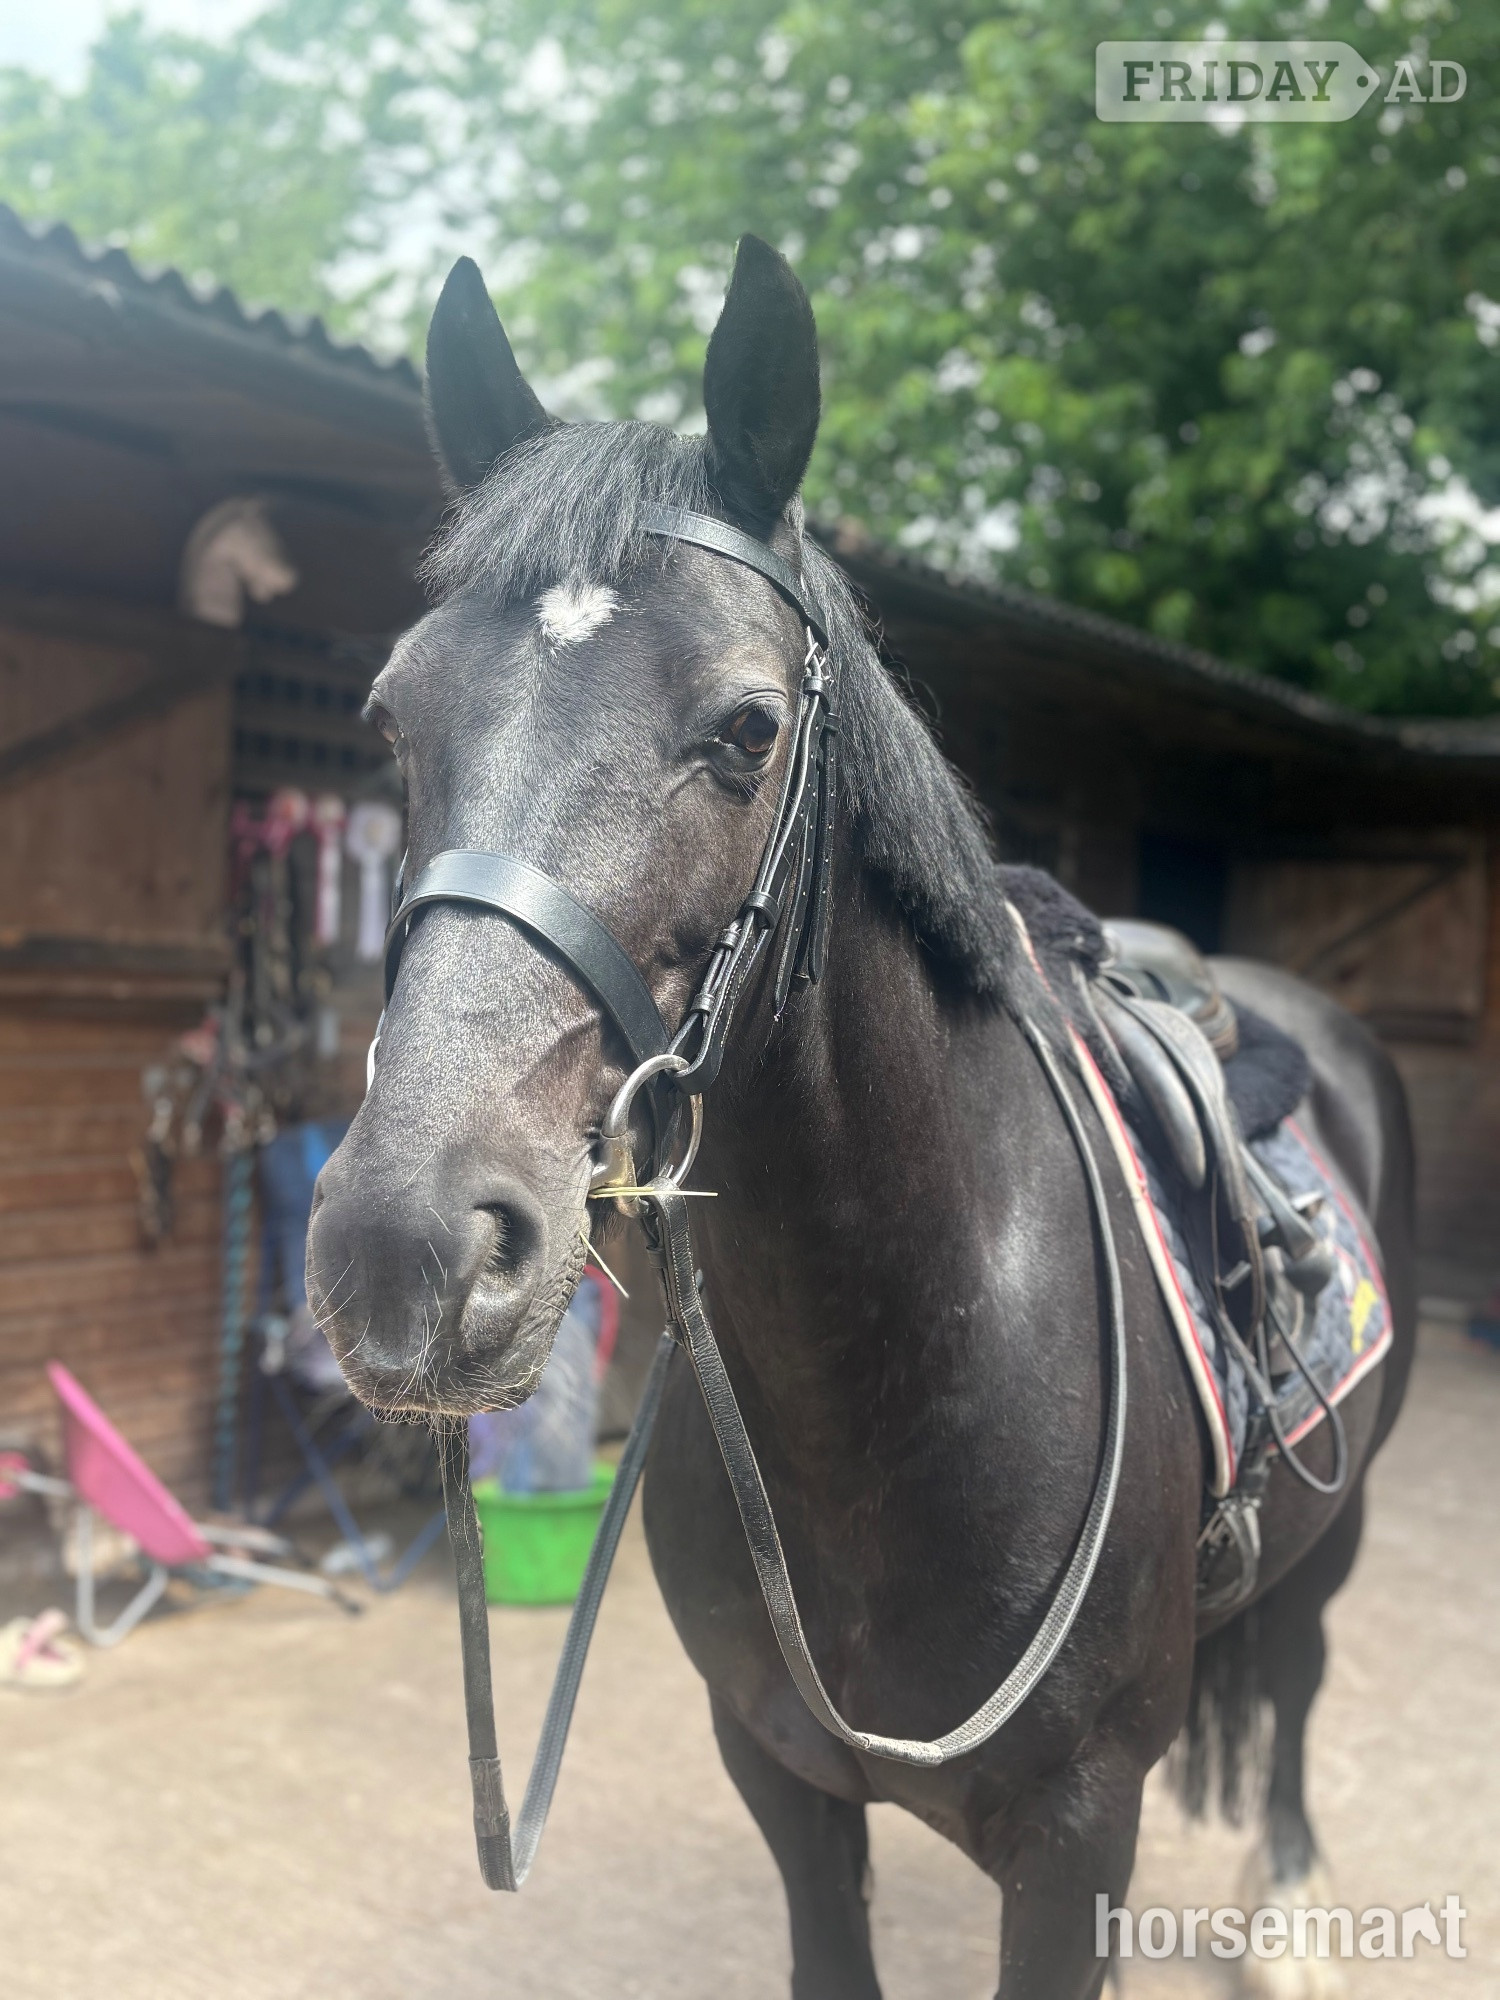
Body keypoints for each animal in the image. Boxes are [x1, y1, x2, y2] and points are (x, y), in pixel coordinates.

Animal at [306, 236, 1416, 2000]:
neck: (901, 1371)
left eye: (748, 729)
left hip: (1349, 1511)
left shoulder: (1076, 1839)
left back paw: (1295, 1912)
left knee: (1300, 1671)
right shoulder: (779, 1774)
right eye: (394, 720)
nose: (408, 1245)